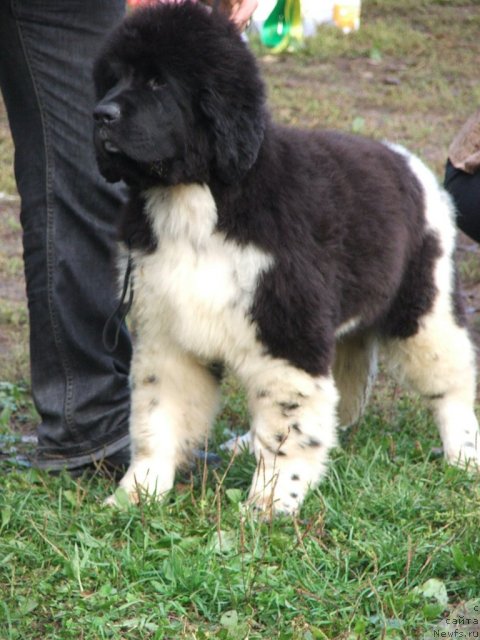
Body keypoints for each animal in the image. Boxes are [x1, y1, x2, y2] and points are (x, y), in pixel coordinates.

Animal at [92, 0, 478, 516]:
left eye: (157, 82)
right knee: (347, 393)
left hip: (424, 307)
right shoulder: (168, 333)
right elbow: (158, 416)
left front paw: (272, 502)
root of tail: (406, 160)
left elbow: (288, 427)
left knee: (451, 383)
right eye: (111, 80)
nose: (101, 114)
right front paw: (138, 491)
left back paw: (464, 455)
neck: (199, 199)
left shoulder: (287, 333)